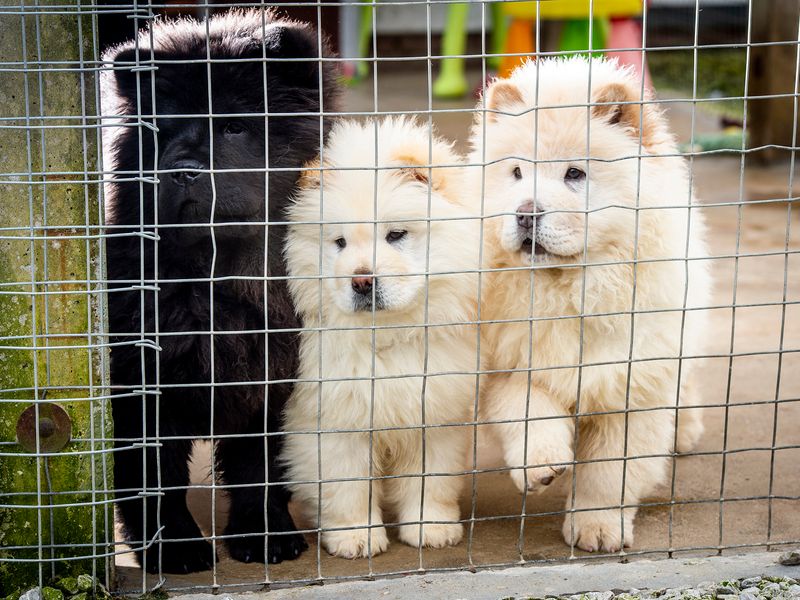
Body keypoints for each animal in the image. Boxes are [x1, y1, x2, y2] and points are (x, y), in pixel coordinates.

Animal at [101, 8, 338, 572]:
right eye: (163, 131)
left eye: (233, 126)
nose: (181, 170)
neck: (219, 288)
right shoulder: (142, 388)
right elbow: (156, 478)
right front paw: (174, 548)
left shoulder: (275, 384)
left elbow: (259, 469)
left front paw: (266, 536)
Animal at [282, 117, 482, 556]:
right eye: (339, 242)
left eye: (395, 235)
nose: (361, 281)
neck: (389, 335)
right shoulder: (337, 422)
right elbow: (348, 487)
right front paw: (355, 538)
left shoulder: (434, 414)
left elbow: (431, 481)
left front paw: (431, 529)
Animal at [468, 59, 712, 552]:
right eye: (517, 172)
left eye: (575, 175)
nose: (526, 213)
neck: (566, 288)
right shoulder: (508, 361)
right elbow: (528, 409)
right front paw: (542, 463)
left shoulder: (631, 386)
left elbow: (608, 473)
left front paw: (596, 530)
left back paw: (686, 432)